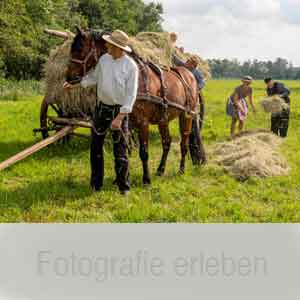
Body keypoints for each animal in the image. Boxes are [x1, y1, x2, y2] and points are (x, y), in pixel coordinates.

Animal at [65, 28, 206, 184]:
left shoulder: (142, 123)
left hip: (186, 116)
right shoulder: (128, 123)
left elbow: (143, 152)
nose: (68, 77)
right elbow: (124, 148)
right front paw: (120, 179)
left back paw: (181, 170)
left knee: (184, 143)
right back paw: (160, 170)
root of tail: (189, 75)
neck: (139, 79)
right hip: (163, 119)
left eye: (79, 49)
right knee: (166, 142)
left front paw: (146, 179)